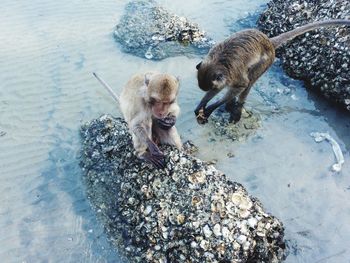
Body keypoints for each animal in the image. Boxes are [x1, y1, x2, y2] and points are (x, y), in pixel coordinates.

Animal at [194, 19, 350, 125]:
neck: (218, 61)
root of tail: (269, 41)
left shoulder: (234, 73)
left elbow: (242, 85)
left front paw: (210, 108)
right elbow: (219, 89)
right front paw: (202, 105)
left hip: (266, 61)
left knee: (249, 82)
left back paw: (236, 109)